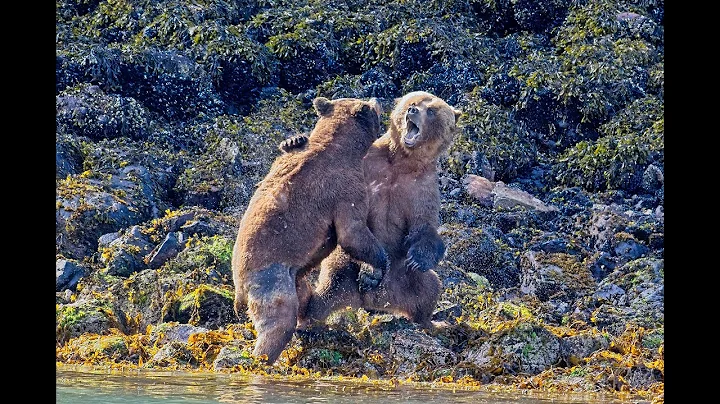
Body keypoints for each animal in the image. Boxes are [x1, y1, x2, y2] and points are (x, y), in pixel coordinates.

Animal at [231, 96, 389, 365]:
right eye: (368, 105)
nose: (377, 98)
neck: (344, 149)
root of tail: (239, 288)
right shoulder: (345, 189)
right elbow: (352, 233)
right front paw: (376, 268)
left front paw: (293, 140)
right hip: (270, 278)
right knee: (279, 320)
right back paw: (263, 358)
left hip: (293, 275)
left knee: (304, 296)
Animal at [298, 91, 462, 329]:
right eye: (413, 102)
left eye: (431, 110)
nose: (413, 110)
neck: (401, 162)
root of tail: (376, 300)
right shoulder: (368, 166)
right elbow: (357, 220)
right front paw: (370, 272)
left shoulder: (422, 186)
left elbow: (424, 225)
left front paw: (418, 258)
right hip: (344, 269)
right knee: (327, 292)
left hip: (406, 279)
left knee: (430, 288)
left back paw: (431, 323)